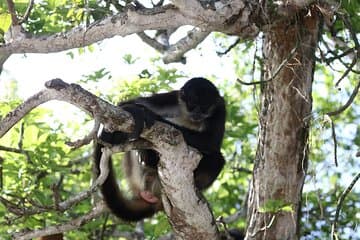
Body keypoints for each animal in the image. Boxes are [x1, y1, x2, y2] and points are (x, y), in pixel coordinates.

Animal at [94, 77, 226, 221]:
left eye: (204, 107)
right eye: (192, 103)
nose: (197, 113)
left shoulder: (220, 108)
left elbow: (211, 141)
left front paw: (149, 114)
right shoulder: (173, 98)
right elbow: (128, 103)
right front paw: (135, 110)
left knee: (218, 159)